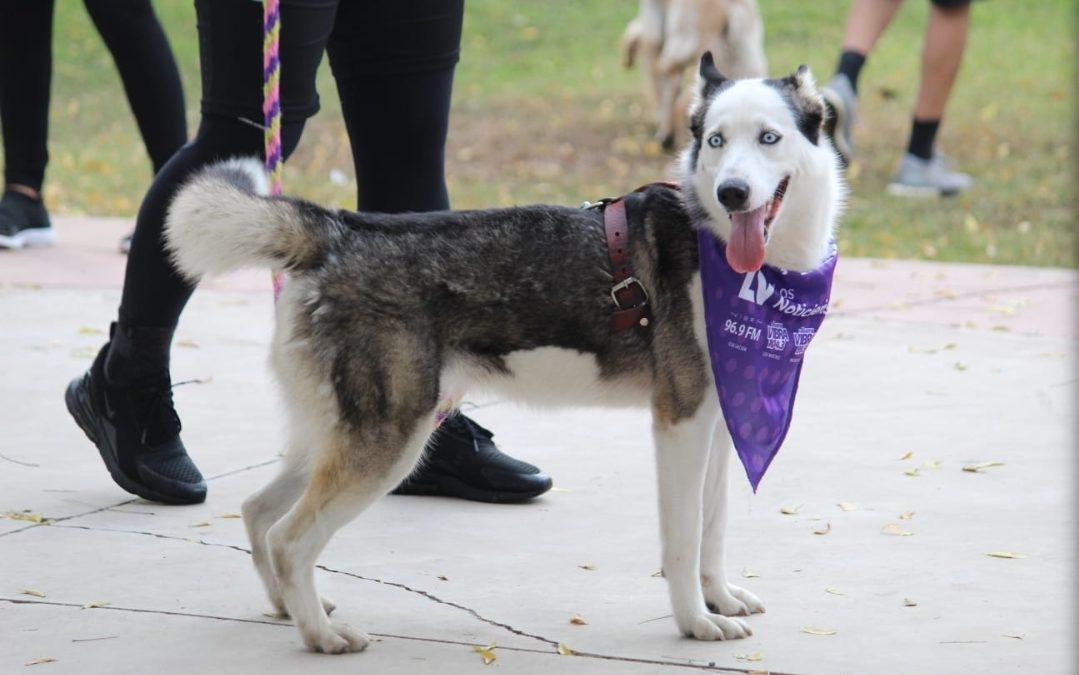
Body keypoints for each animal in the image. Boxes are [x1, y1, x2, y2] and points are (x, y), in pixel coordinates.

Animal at [166, 53, 841, 651]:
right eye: (717, 141)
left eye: (769, 138)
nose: (732, 192)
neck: (719, 244)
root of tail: (339, 231)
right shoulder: (679, 424)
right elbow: (682, 540)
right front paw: (696, 622)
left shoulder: (717, 426)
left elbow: (713, 529)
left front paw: (719, 598)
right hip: (389, 443)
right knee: (291, 538)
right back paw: (320, 636)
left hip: (337, 434)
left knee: (258, 513)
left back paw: (288, 607)